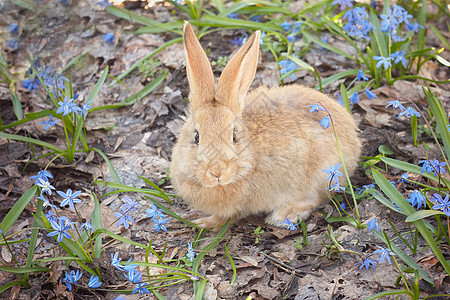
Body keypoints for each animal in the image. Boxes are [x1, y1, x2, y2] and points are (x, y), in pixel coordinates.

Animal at [170, 22, 362, 229]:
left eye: (234, 137)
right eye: (196, 137)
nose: (217, 172)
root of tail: (354, 136)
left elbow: (227, 218)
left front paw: (204, 223)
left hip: (322, 174)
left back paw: (284, 215)